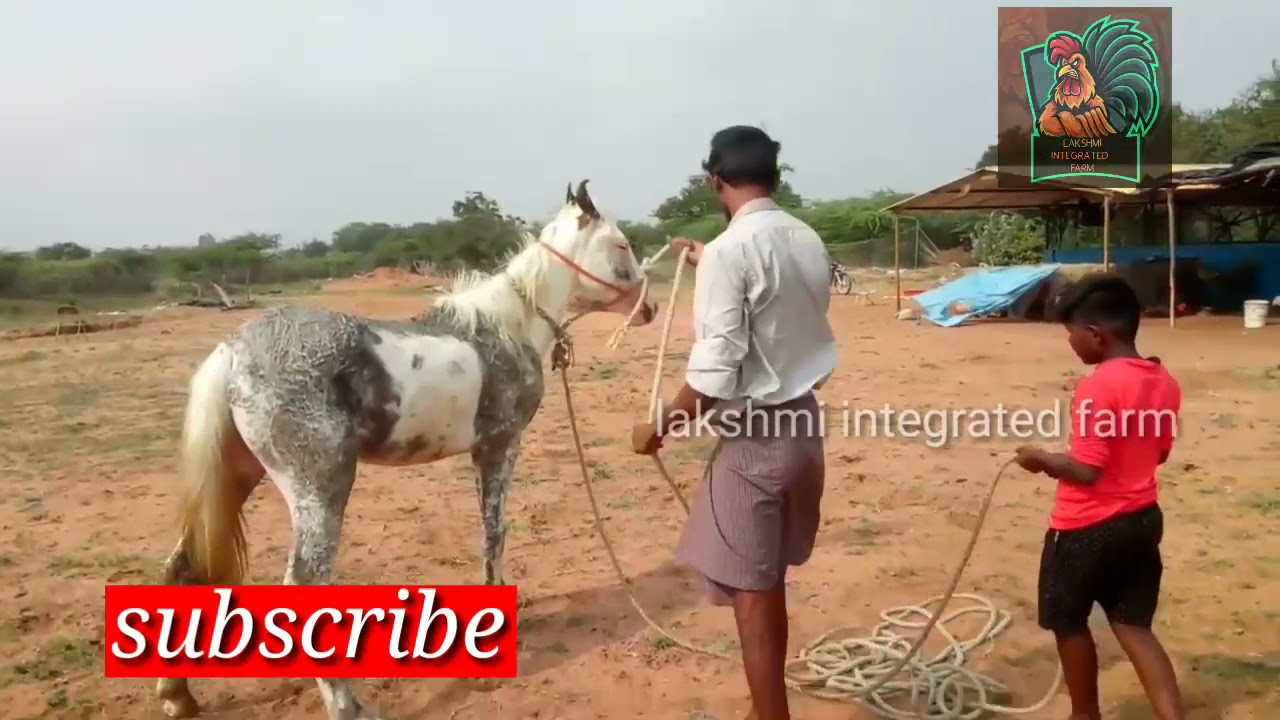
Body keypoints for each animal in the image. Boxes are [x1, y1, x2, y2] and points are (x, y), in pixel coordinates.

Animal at [155, 180, 658, 720]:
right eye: (621, 245)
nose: (648, 308)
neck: (505, 328)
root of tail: (231, 353)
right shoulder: (500, 446)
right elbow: (495, 531)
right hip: (320, 488)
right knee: (305, 581)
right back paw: (346, 704)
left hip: (237, 476)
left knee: (183, 565)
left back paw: (177, 695)